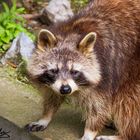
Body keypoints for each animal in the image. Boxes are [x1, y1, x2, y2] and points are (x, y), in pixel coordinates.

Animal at [24, 0, 140, 139]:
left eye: (74, 72)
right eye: (53, 71)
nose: (65, 89)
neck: (71, 33)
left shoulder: (106, 71)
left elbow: (99, 106)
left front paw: (90, 131)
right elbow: (53, 95)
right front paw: (46, 116)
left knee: (128, 101)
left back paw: (125, 135)